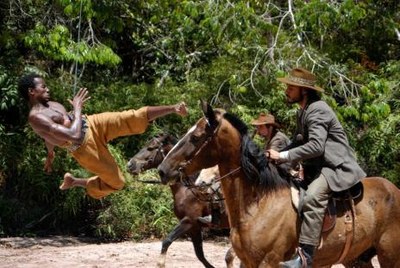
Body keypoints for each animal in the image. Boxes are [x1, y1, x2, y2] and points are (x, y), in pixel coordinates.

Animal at [125, 133, 231, 268]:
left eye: (150, 148)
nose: (130, 165)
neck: (188, 189)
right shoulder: (194, 228)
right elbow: (200, 255)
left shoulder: (188, 221)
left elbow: (167, 240)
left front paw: (161, 263)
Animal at [157, 101, 400, 268]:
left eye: (196, 137)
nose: (163, 169)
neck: (257, 204)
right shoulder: (247, 261)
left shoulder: (269, 261)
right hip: (357, 258)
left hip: (389, 256)